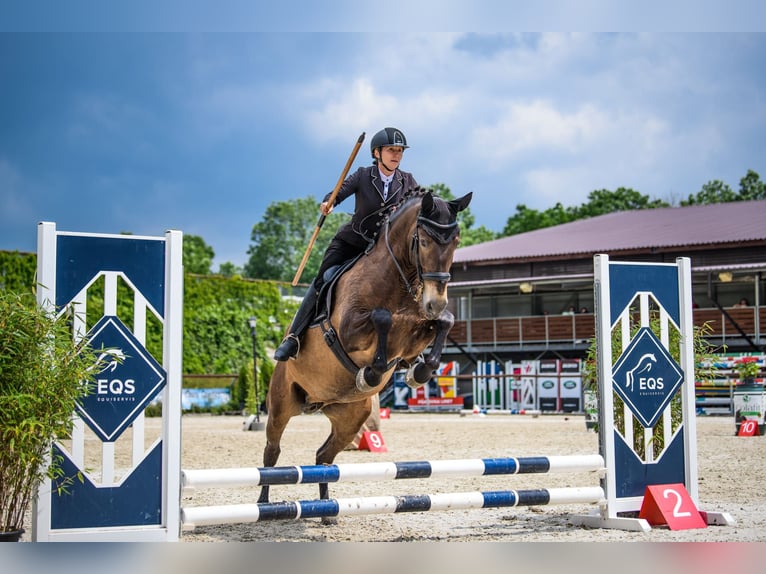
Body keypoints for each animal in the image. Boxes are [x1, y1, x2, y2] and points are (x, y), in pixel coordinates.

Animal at [260, 189, 472, 516]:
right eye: (424, 241)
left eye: (456, 242)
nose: (435, 301)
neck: (397, 281)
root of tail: (316, 403)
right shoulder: (349, 329)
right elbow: (382, 318)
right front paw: (371, 373)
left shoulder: (417, 329)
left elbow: (444, 322)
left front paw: (421, 369)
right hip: (282, 404)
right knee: (272, 451)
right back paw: (263, 501)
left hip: (350, 417)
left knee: (324, 457)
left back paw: (327, 510)